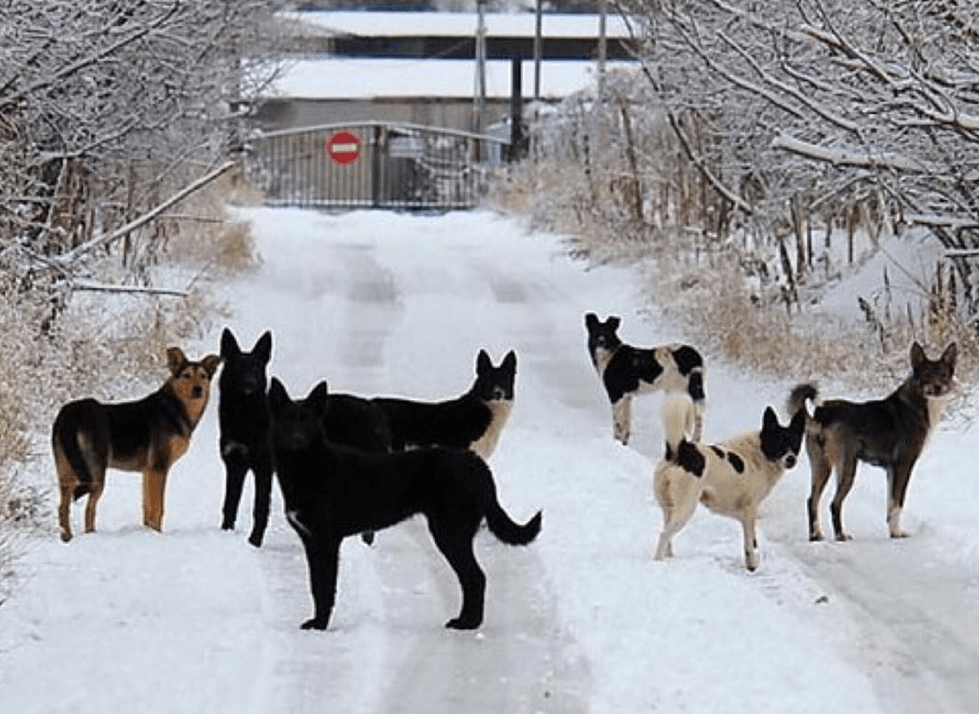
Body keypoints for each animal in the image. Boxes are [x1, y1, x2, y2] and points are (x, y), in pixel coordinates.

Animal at [53, 344, 220, 540]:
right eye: (186, 375)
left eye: (203, 376)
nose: (198, 389)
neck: (175, 407)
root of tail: (69, 414)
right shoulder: (158, 467)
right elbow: (157, 509)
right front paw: (157, 535)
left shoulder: (148, 471)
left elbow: (147, 509)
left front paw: (148, 532)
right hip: (95, 472)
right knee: (89, 509)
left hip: (67, 470)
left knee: (63, 508)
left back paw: (67, 538)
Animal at [268, 378, 544, 628]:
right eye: (287, 420)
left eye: (307, 421)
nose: (296, 439)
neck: (309, 468)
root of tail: (479, 466)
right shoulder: (311, 541)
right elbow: (315, 586)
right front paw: (316, 622)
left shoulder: (326, 541)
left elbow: (325, 588)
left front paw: (320, 626)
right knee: (473, 579)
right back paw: (467, 620)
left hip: (450, 533)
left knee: (475, 578)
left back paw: (468, 624)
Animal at [584, 312, 708, 444]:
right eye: (595, 332)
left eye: (607, 332)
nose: (601, 341)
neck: (610, 352)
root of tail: (694, 355)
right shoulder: (627, 396)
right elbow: (626, 423)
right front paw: (624, 443)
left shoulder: (616, 394)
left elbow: (618, 423)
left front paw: (616, 442)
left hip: (682, 388)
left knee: (696, 417)